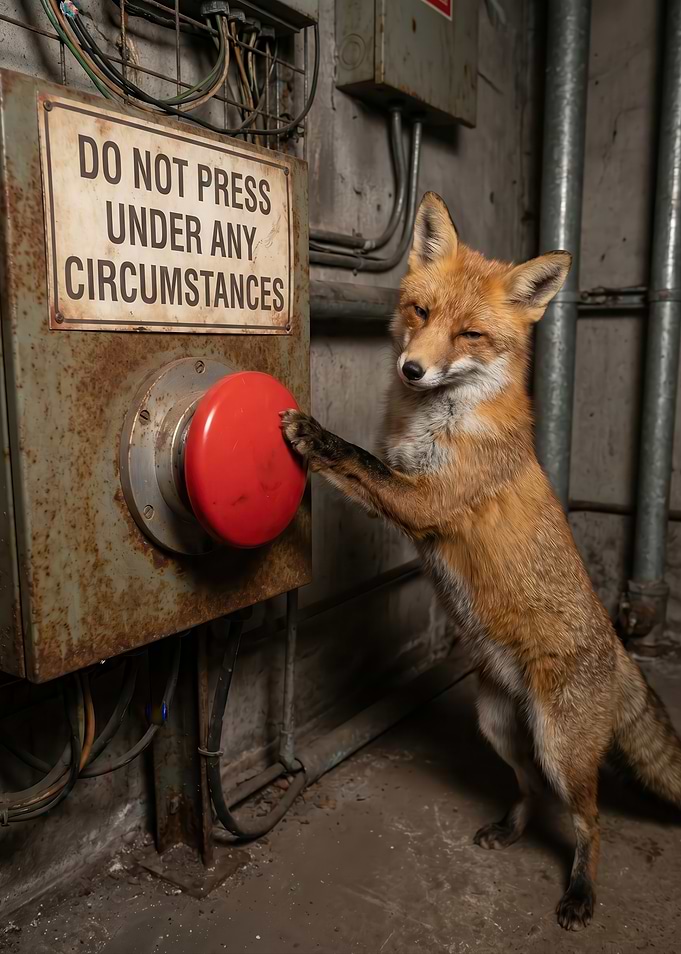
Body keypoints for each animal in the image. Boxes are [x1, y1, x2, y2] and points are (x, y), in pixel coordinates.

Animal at [282, 192, 681, 931]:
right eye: (420, 312)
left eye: (470, 335)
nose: (411, 370)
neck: (436, 419)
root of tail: (618, 648)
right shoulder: (405, 490)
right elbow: (364, 464)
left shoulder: (423, 501)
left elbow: (356, 458)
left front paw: (312, 435)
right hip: (498, 726)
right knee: (531, 793)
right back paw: (510, 827)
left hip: (559, 750)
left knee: (589, 823)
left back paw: (581, 893)